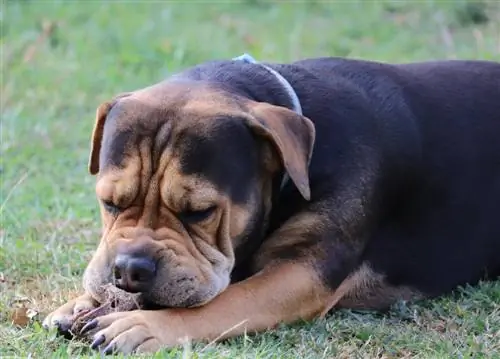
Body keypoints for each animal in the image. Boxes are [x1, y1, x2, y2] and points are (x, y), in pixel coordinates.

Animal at [43, 54, 500, 356]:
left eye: (200, 212)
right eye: (110, 202)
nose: (128, 269)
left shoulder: (303, 272)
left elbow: (229, 300)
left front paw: (143, 325)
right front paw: (78, 304)